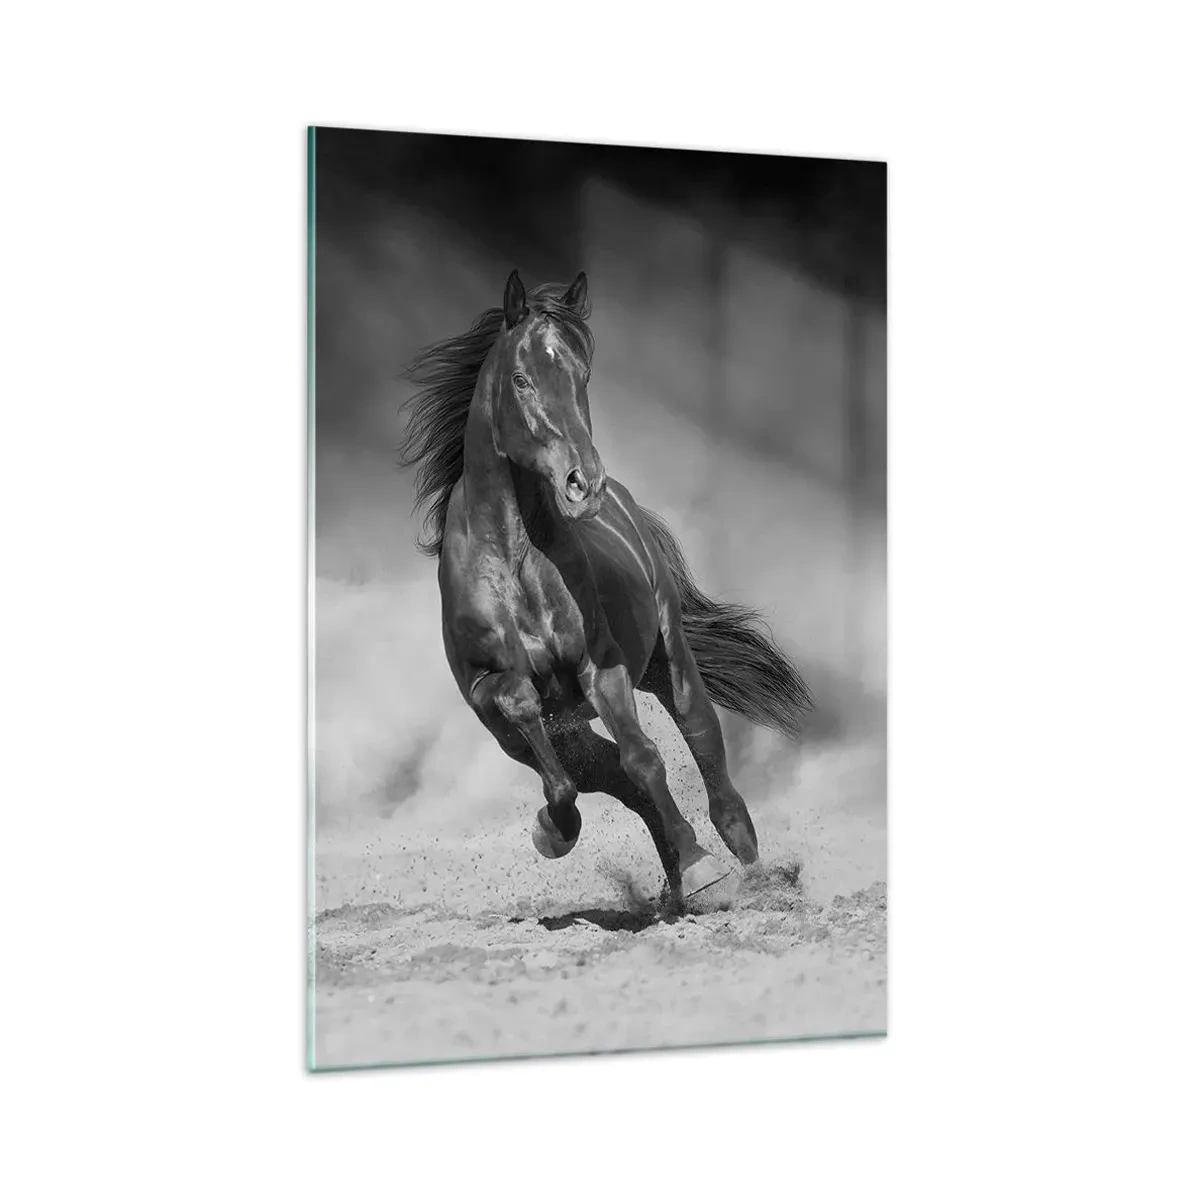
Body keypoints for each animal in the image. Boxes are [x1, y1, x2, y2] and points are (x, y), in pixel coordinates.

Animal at [399, 270, 811, 907]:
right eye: (521, 379)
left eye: (582, 375)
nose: (582, 482)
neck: (515, 562)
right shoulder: (489, 699)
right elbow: (554, 748)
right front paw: (554, 831)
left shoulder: (602, 668)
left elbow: (645, 759)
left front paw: (702, 867)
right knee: (609, 777)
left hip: (669, 662)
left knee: (702, 746)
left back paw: (745, 867)